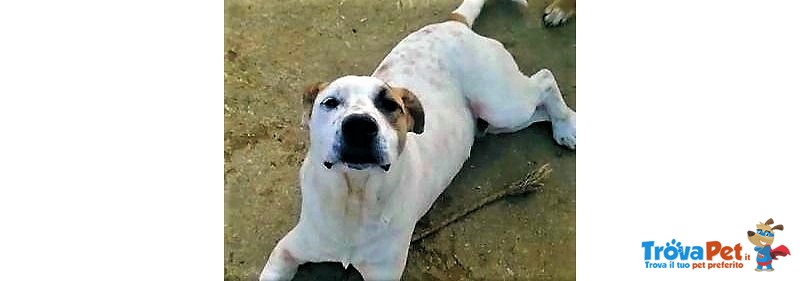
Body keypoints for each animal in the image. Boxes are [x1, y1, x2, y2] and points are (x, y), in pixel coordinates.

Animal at [260, 1, 580, 278]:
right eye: (330, 102)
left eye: (390, 105)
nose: (360, 126)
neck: (355, 196)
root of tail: (454, 23)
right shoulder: (286, 250)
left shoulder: (383, 274)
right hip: (497, 121)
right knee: (537, 107)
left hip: (502, 105)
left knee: (544, 79)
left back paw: (568, 125)